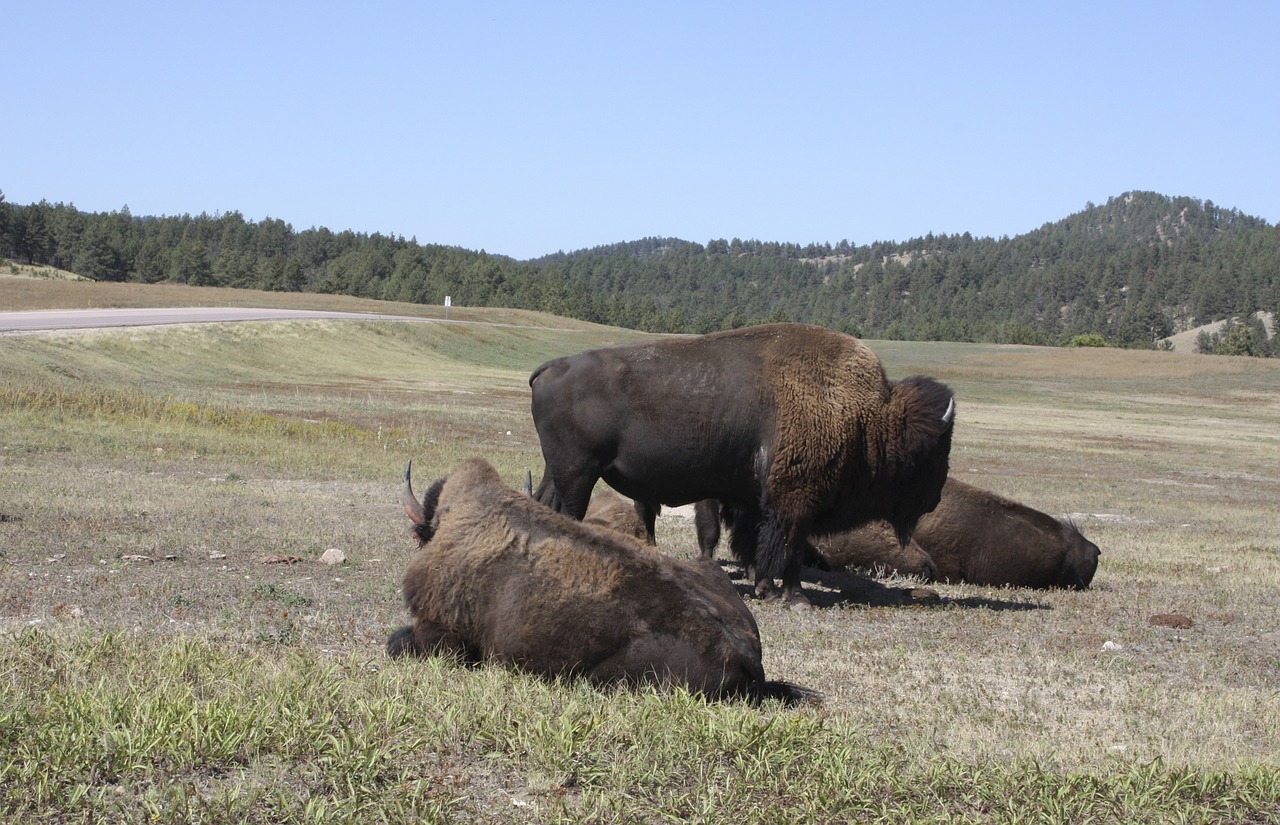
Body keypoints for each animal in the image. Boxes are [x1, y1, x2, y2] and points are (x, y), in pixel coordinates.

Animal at [524, 323, 957, 603]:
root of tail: (552, 367)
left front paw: (764, 587)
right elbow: (788, 548)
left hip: (558, 471)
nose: (935, 499)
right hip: (578, 472)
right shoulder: (796, 499)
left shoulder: (759, 500)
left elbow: (757, 543)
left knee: (545, 504)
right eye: (933, 450)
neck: (867, 415)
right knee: (569, 513)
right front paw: (795, 597)